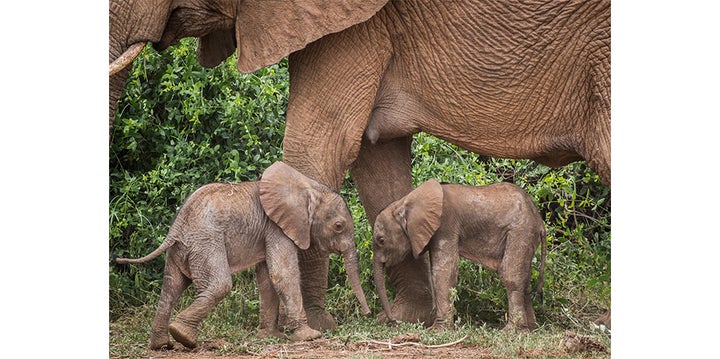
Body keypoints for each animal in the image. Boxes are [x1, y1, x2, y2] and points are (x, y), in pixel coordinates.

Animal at [116, 162, 372, 350]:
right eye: (338, 226)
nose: (368, 313)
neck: (307, 187)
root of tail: (176, 227)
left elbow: (267, 279)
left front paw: (271, 336)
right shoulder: (276, 227)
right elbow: (282, 274)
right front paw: (310, 336)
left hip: (182, 248)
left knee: (171, 287)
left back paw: (162, 345)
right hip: (206, 242)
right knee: (219, 285)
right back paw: (184, 337)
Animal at [372, 180, 544, 332]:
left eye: (381, 240)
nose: (394, 321)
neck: (404, 202)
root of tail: (539, 220)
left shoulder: (445, 225)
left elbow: (443, 271)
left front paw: (437, 331)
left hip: (520, 230)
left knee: (510, 275)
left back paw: (511, 331)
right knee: (525, 279)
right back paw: (530, 329)